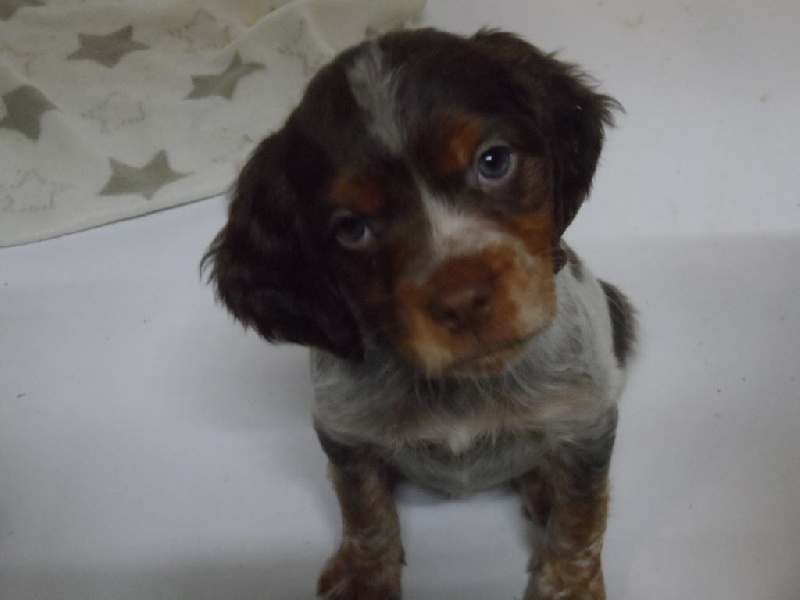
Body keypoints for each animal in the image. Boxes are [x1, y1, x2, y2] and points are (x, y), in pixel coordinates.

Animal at [203, 28, 636, 600]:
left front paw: (568, 585)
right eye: (351, 228)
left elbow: (581, 518)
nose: (463, 302)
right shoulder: (346, 432)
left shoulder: (587, 422)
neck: (462, 387)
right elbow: (364, 511)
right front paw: (366, 577)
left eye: (493, 161)